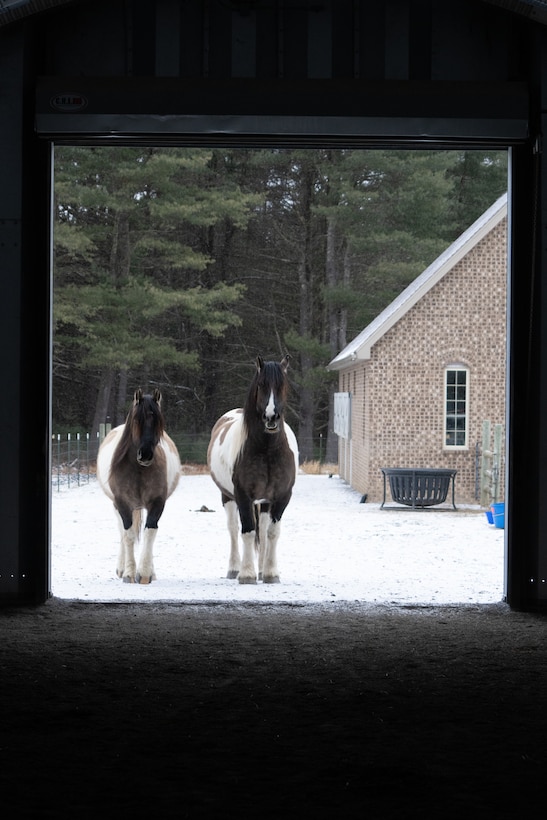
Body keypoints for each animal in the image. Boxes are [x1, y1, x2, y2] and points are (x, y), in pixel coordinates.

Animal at [96, 388, 181, 584]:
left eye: (158, 421)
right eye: (136, 419)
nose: (146, 454)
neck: (138, 470)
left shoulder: (157, 503)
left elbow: (150, 532)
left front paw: (144, 573)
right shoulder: (122, 504)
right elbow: (128, 535)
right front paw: (128, 573)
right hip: (117, 506)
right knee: (121, 532)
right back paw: (121, 569)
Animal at [207, 355, 299, 584]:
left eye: (282, 385)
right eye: (261, 385)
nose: (271, 417)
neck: (266, 450)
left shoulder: (282, 497)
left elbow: (272, 533)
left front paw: (271, 574)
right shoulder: (243, 496)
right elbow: (246, 531)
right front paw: (246, 574)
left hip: (264, 502)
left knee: (263, 530)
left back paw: (261, 571)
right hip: (227, 496)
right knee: (233, 529)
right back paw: (234, 569)